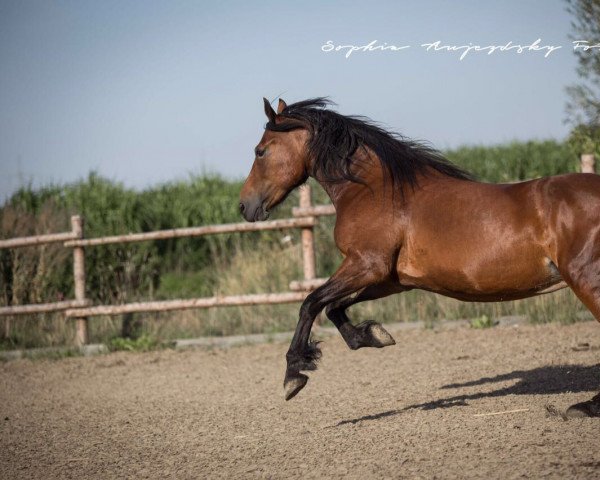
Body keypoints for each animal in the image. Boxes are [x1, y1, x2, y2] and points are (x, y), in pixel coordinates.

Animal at [239, 98, 600, 416]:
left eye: (260, 151)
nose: (245, 207)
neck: (373, 191)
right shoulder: (392, 279)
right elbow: (334, 306)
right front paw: (372, 336)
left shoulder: (367, 265)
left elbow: (311, 303)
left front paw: (294, 374)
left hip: (584, 279)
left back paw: (587, 407)